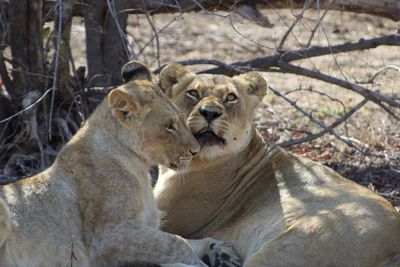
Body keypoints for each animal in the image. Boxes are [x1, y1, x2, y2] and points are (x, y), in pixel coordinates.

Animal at [0, 61, 241, 267]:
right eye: (169, 126)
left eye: (180, 120)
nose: (195, 150)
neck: (139, 167)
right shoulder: (107, 236)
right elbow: (177, 243)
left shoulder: (144, 229)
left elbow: (186, 240)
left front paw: (222, 251)